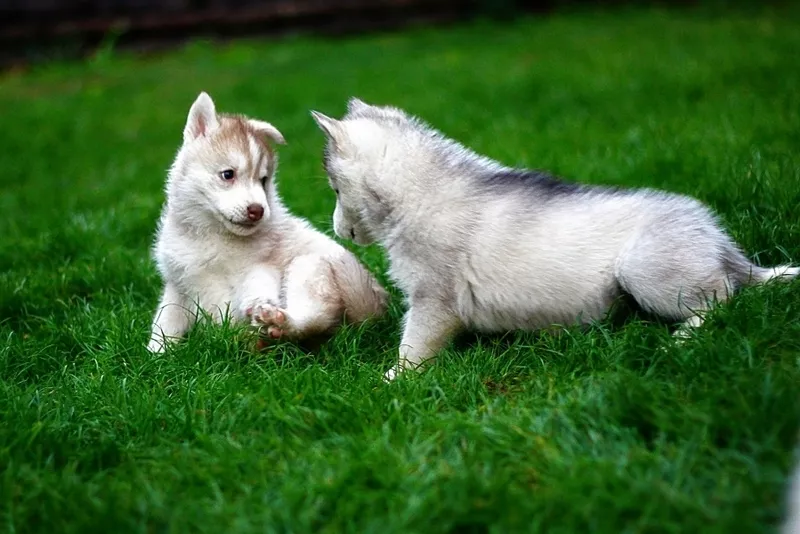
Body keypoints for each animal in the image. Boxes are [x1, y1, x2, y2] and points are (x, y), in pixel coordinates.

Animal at [150, 94, 390, 354]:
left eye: (263, 180)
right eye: (228, 174)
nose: (257, 210)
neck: (211, 233)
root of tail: (375, 315)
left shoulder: (261, 265)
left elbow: (256, 286)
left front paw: (257, 305)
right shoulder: (178, 285)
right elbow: (165, 320)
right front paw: (157, 354)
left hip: (311, 267)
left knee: (317, 317)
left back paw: (281, 323)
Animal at [310, 97, 796, 382]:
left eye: (334, 188)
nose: (335, 229)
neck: (418, 190)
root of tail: (717, 239)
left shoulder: (434, 298)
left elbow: (414, 343)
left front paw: (393, 379)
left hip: (646, 268)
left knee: (723, 298)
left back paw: (682, 339)